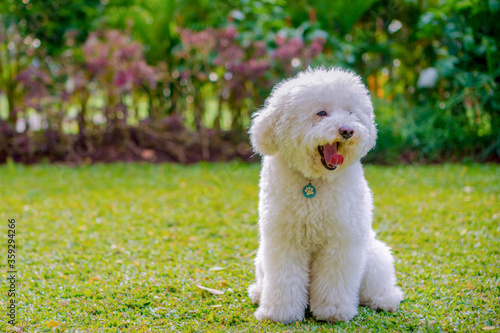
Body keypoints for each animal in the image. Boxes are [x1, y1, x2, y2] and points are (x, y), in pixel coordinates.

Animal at [248, 66, 404, 322]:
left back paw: (385, 299)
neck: (314, 183)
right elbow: (284, 279)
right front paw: (280, 313)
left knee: (375, 288)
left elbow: (334, 280)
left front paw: (333, 311)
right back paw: (258, 292)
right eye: (321, 113)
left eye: (350, 112)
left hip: (374, 258)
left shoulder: (340, 242)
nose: (347, 130)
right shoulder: (285, 240)